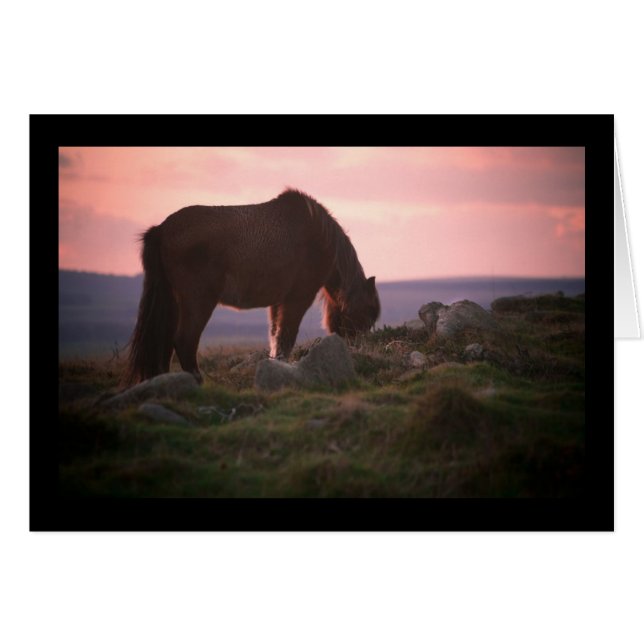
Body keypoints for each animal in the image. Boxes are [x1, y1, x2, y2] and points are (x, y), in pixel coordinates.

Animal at [123, 188, 381, 385]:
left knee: (164, 342)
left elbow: (276, 339)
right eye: (368, 311)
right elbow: (286, 337)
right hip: (198, 301)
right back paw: (196, 381)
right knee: (184, 340)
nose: (359, 348)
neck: (319, 238)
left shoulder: (278, 302)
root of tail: (161, 230)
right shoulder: (298, 298)